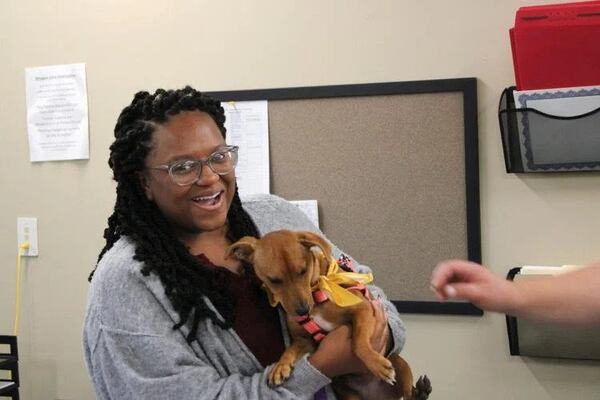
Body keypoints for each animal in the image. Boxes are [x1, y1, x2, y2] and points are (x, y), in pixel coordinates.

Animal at [226, 230, 432, 398]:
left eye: (303, 270)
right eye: (274, 280)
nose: (303, 310)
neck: (317, 292)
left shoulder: (363, 310)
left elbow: (358, 343)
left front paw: (376, 363)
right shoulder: (304, 340)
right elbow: (289, 350)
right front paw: (280, 367)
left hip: (400, 364)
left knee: (408, 393)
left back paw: (420, 391)